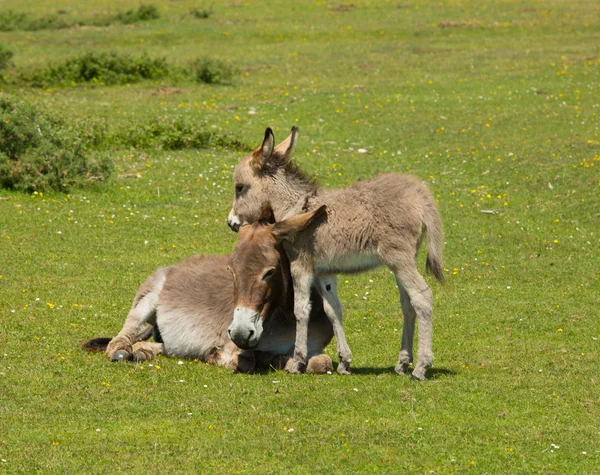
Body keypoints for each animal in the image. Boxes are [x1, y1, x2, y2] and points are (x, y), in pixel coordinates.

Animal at [227, 128, 442, 382]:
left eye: (240, 187)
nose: (231, 223)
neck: (298, 208)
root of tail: (421, 197)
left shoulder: (301, 266)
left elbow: (301, 310)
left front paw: (298, 361)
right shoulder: (324, 272)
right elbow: (333, 310)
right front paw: (344, 362)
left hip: (399, 258)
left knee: (422, 296)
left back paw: (421, 368)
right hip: (402, 261)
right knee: (408, 303)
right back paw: (402, 364)